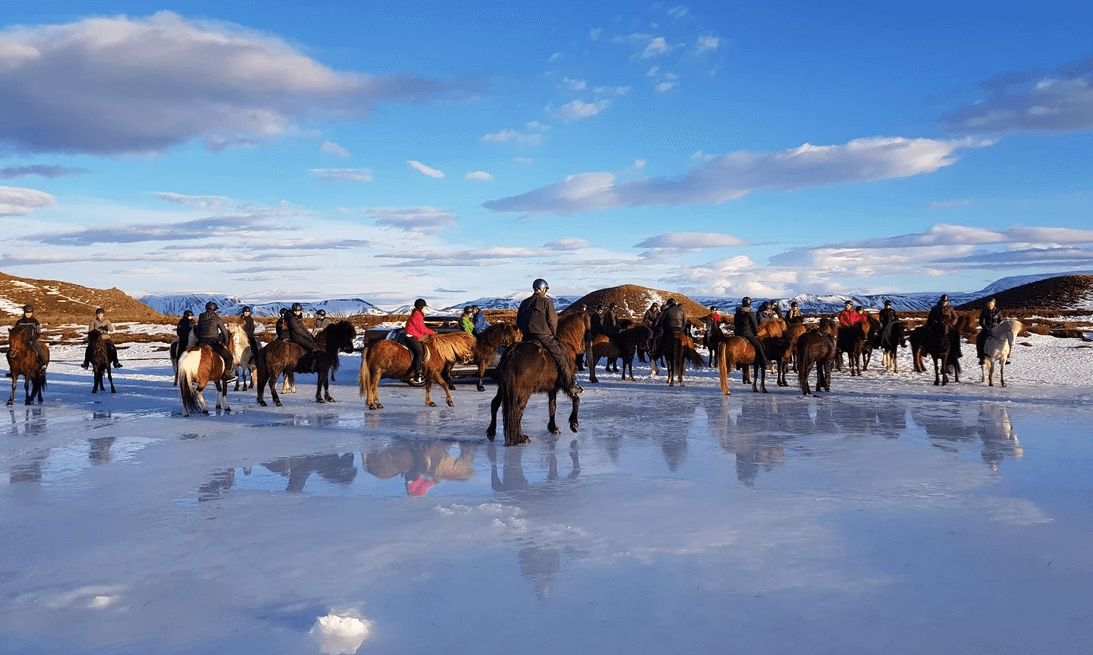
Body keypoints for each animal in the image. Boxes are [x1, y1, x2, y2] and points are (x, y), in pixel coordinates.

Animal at [485, 310, 590, 446]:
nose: (583, 349)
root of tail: (511, 355)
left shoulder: (552, 388)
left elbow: (552, 406)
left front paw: (553, 428)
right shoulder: (566, 384)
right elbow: (576, 399)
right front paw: (574, 424)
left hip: (503, 387)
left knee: (495, 403)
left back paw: (492, 432)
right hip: (523, 391)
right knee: (517, 410)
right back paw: (521, 437)